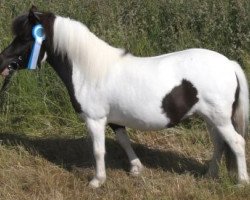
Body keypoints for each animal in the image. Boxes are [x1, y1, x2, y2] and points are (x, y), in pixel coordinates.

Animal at [0, 6, 248, 188]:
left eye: (25, 38)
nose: (2, 61)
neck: (89, 70)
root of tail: (229, 63)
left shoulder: (95, 120)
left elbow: (99, 150)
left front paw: (97, 181)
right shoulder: (114, 120)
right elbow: (124, 141)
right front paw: (137, 169)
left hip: (219, 118)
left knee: (236, 143)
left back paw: (241, 182)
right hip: (210, 118)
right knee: (219, 144)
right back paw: (210, 175)